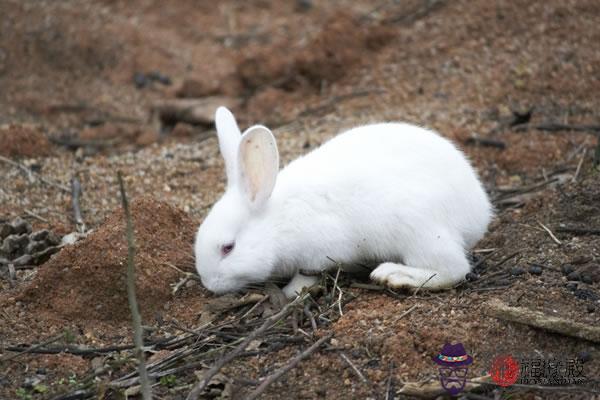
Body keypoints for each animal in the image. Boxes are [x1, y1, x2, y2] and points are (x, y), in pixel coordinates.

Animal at [196, 106, 492, 296]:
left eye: (228, 248)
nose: (209, 284)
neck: (277, 221)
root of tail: (480, 211)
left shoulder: (317, 254)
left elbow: (307, 276)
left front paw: (290, 292)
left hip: (420, 231)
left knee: (453, 270)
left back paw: (394, 275)